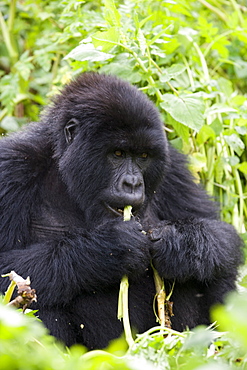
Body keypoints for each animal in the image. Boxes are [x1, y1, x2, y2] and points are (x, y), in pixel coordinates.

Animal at [0, 73, 243, 350]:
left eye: (143, 156)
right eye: (117, 153)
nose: (133, 183)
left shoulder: (174, 168)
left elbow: (220, 232)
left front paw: (180, 244)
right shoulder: (12, 166)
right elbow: (7, 269)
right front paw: (110, 249)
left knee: (217, 266)